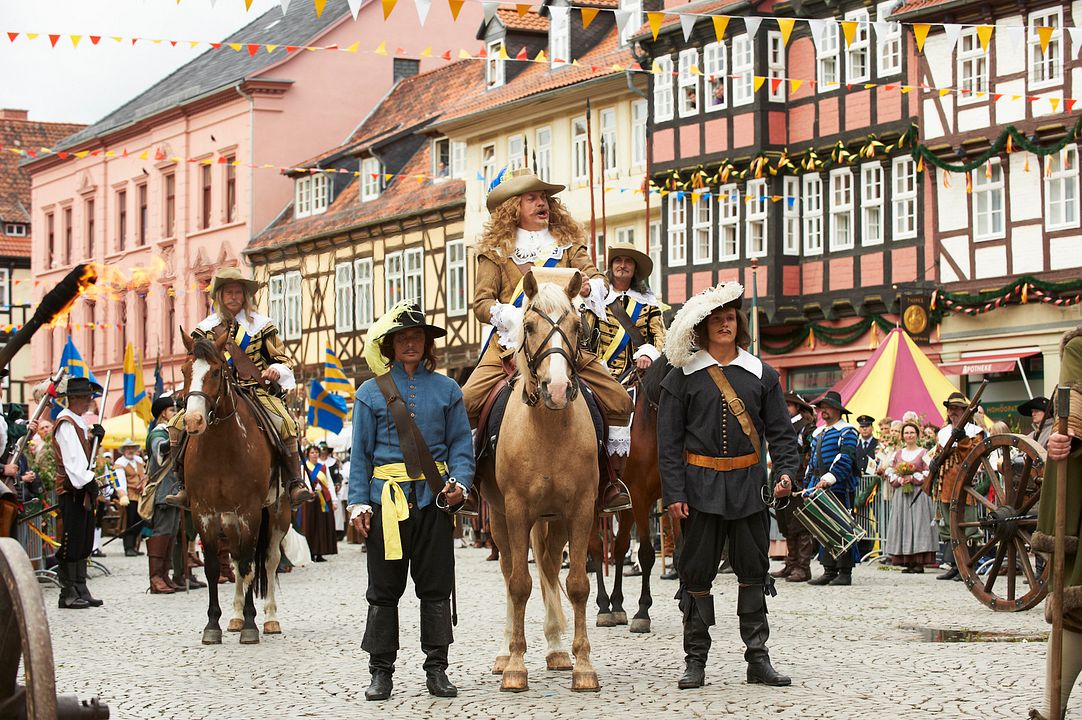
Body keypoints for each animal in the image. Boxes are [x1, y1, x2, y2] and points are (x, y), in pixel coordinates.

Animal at [180, 331, 292, 645]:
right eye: (184, 371)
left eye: (217, 371)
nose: (193, 421)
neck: (221, 447)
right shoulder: (204, 513)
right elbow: (214, 568)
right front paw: (214, 624)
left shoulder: (250, 512)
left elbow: (248, 564)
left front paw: (252, 626)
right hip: (229, 520)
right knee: (234, 560)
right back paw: (236, 615)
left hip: (278, 515)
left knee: (268, 560)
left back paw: (270, 618)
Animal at [486, 268, 605, 692]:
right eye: (529, 326)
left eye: (575, 325)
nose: (556, 389)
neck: (549, 429)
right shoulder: (517, 510)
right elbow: (519, 583)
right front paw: (516, 666)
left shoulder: (582, 509)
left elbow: (579, 585)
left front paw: (584, 665)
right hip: (499, 519)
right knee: (510, 574)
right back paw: (505, 654)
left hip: (555, 520)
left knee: (552, 568)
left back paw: (556, 649)